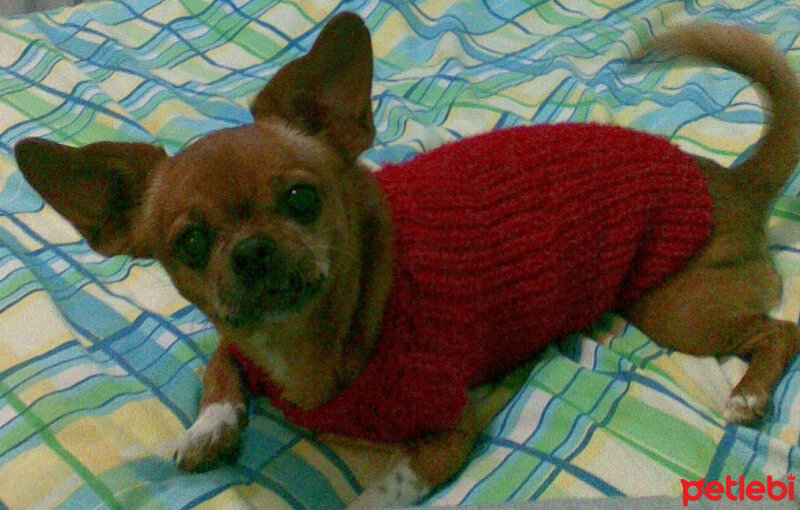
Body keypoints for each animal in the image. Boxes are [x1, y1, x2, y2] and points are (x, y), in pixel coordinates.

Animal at [10, 11, 800, 510]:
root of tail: (731, 179)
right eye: (191, 243)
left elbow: (382, 490)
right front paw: (208, 429)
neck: (309, 347)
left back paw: (749, 394)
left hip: (674, 307)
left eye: (301, 198)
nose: (254, 249)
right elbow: (220, 374)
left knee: (781, 331)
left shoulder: (448, 432)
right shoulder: (234, 344)